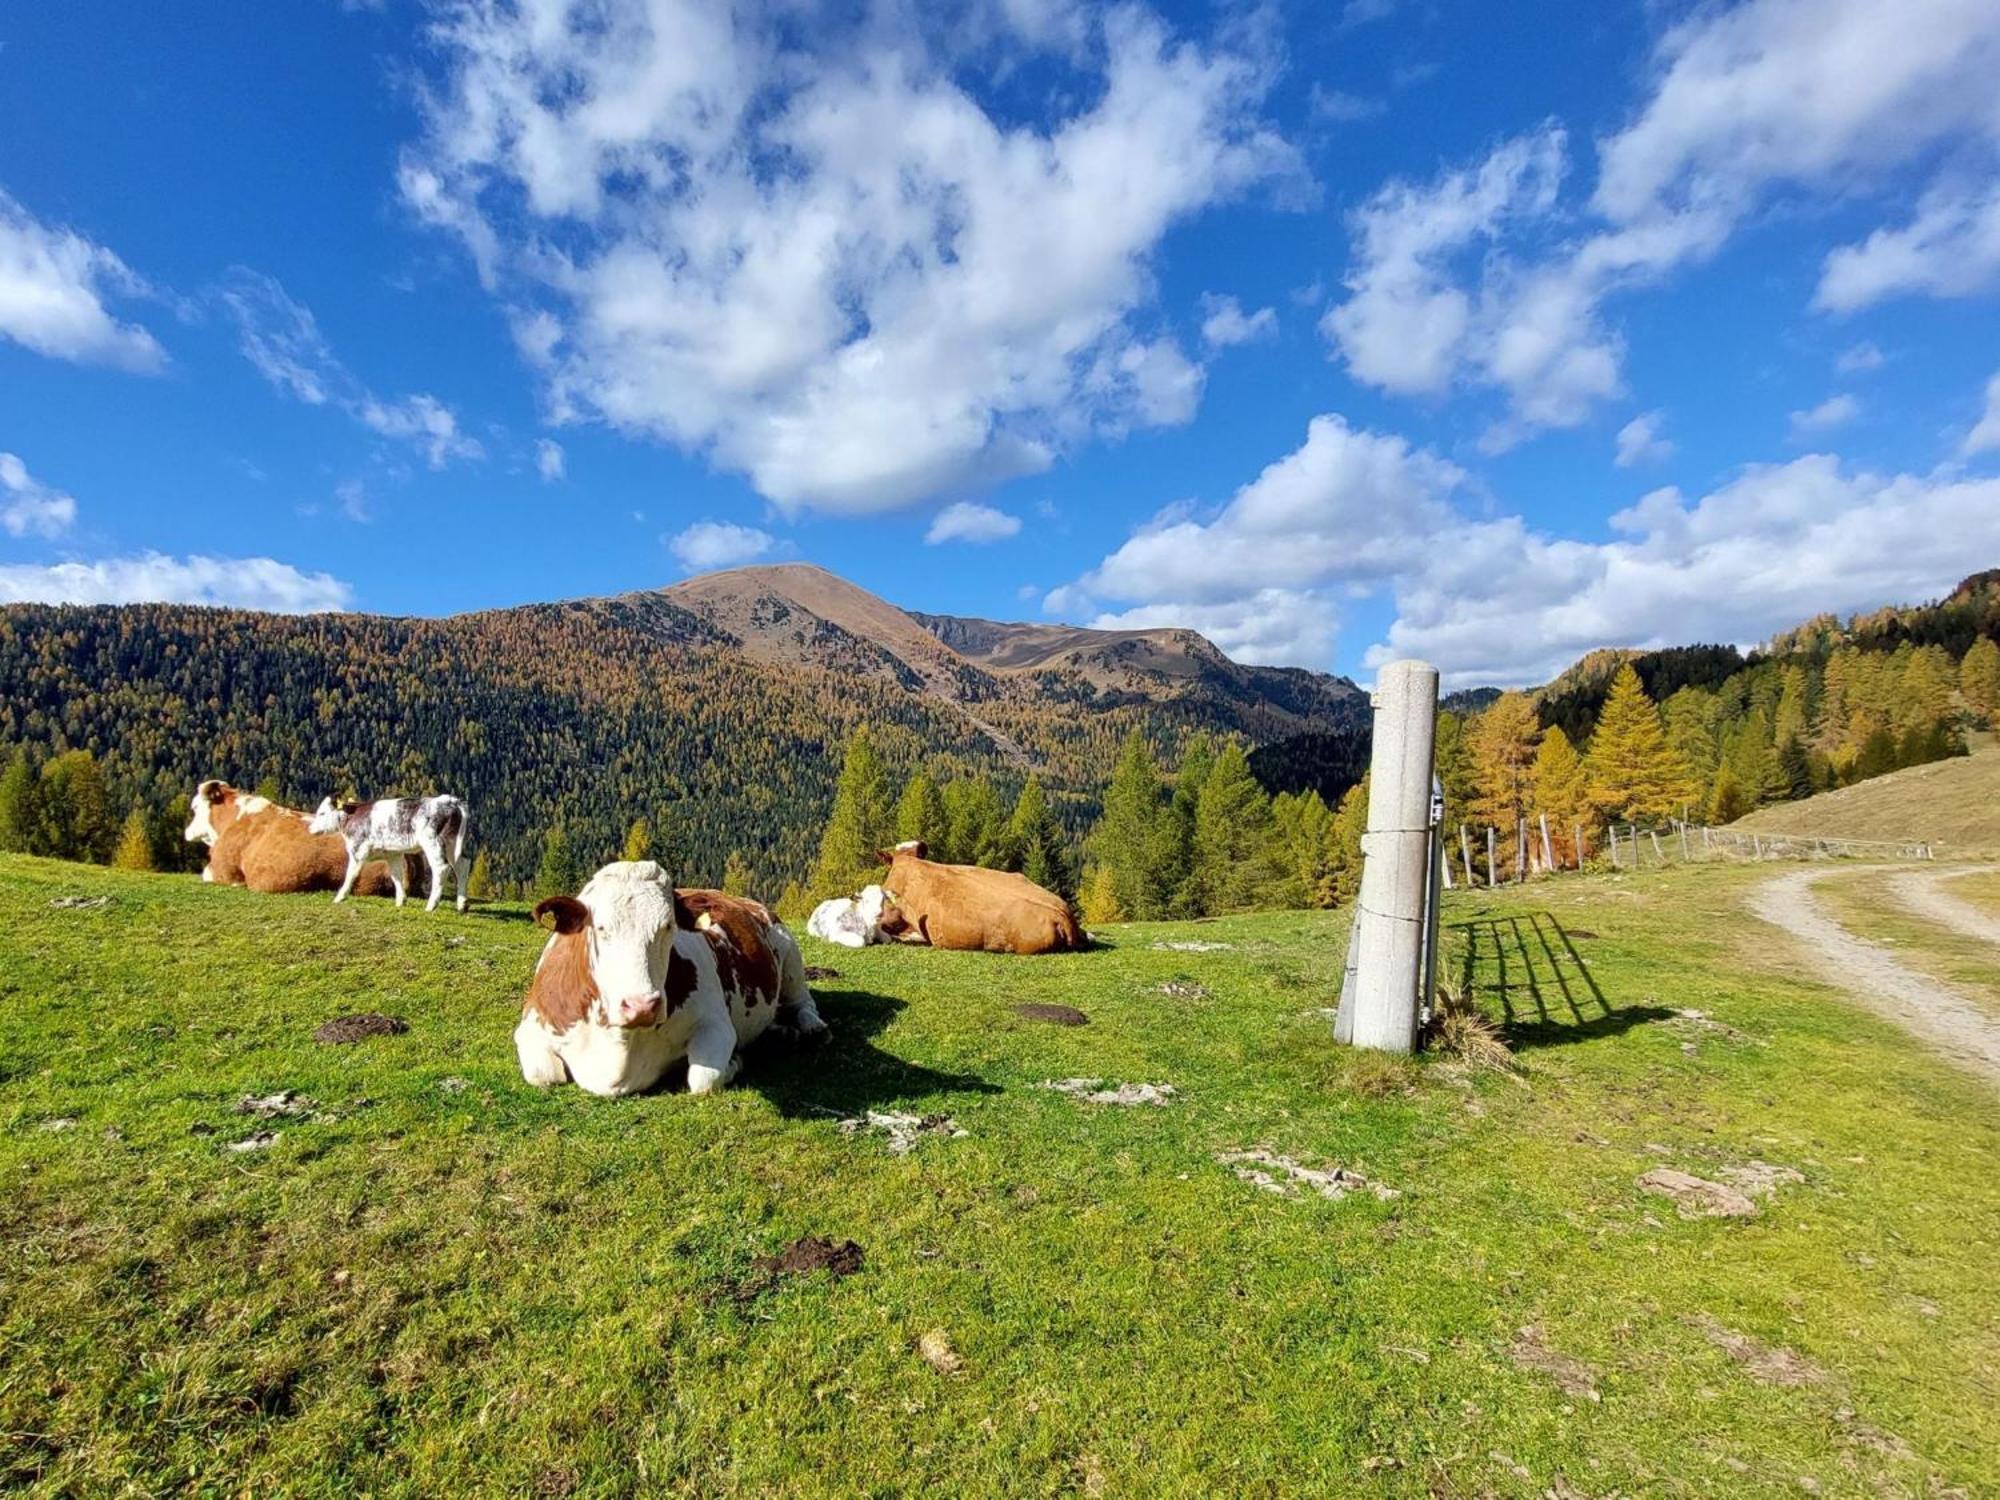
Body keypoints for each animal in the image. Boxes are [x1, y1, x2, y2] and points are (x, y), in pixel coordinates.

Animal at [306, 792, 474, 912]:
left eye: (322, 813)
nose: (310, 829)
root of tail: (449, 800)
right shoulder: (392, 854)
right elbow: (396, 875)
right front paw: (401, 901)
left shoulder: (358, 849)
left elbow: (350, 875)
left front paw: (340, 897)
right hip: (453, 843)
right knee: (463, 865)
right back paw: (461, 904)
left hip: (433, 842)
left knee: (441, 868)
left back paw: (431, 905)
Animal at [520, 864, 832, 1096]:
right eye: (600, 928)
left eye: (668, 926)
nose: (642, 1006)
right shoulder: (530, 1026)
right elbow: (544, 1074)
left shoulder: (715, 1024)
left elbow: (702, 1079)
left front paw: (735, 1061)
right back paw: (781, 1032)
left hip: (790, 953)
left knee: (804, 1003)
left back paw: (812, 1028)